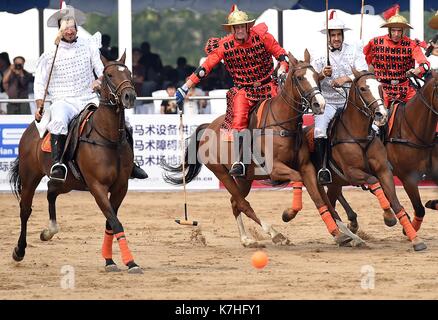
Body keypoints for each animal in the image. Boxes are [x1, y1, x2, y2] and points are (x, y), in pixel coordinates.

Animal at [8, 52, 142, 272]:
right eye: (109, 74)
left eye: (129, 73)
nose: (129, 96)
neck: (108, 138)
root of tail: (32, 127)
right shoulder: (97, 186)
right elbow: (115, 222)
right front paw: (129, 262)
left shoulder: (121, 187)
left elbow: (110, 222)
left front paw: (110, 260)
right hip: (30, 177)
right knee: (25, 209)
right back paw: (19, 250)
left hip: (68, 182)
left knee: (51, 191)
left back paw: (49, 230)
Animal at [163, 50, 358, 248]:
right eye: (300, 77)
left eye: (318, 77)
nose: (320, 104)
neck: (282, 124)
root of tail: (207, 127)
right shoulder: (276, 169)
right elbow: (298, 179)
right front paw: (288, 214)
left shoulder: (307, 167)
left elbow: (319, 198)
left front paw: (340, 234)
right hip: (222, 173)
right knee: (243, 204)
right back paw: (275, 234)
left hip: (245, 178)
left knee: (235, 203)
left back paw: (247, 239)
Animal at [290, 69, 426, 251]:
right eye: (362, 88)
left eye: (380, 87)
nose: (382, 115)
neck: (359, 135)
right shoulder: (352, 172)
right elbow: (373, 181)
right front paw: (388, 217)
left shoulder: (384, 170)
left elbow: (397, 204)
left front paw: (415, 239)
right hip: (317, 178)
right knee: (327, 203)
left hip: (335, 182)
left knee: (332, 199)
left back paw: (350, 231)